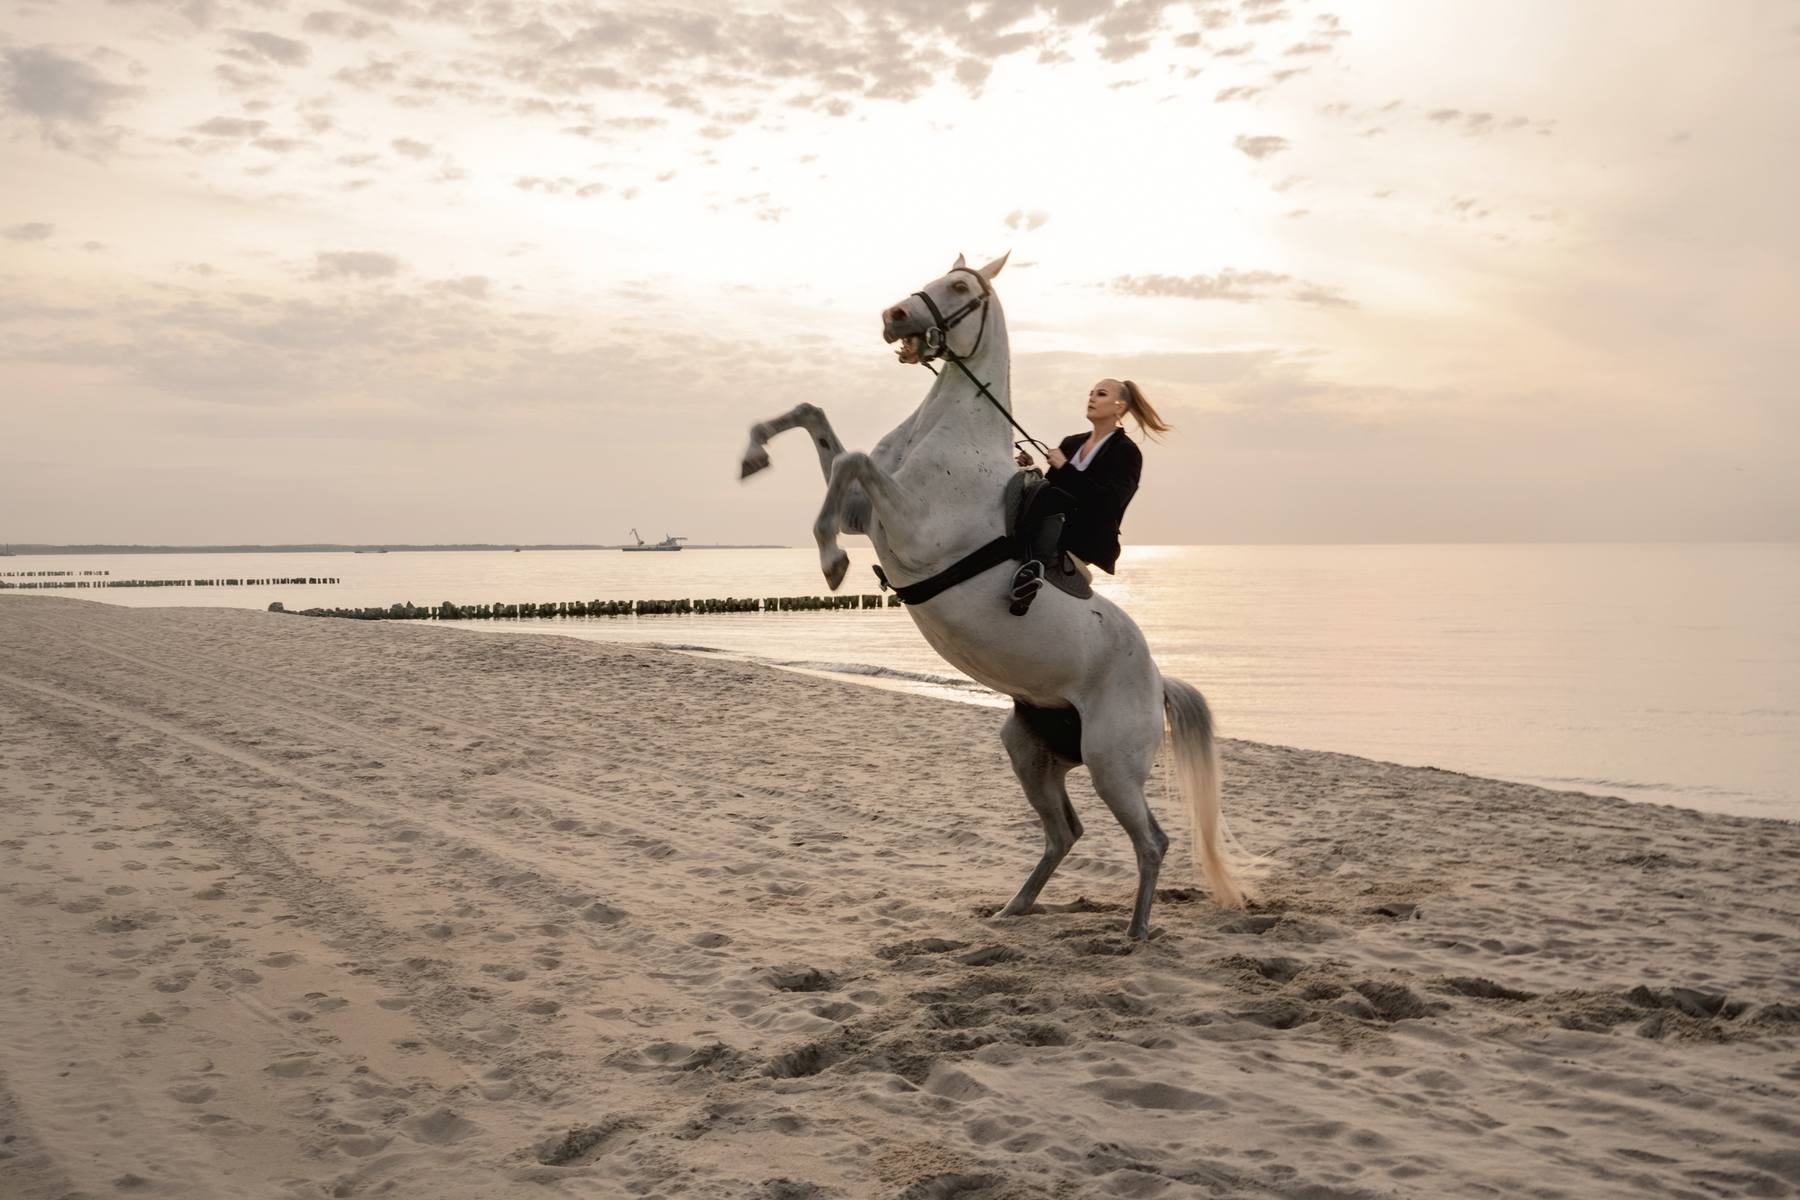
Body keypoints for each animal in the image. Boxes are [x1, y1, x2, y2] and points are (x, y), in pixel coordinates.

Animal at [739, 253, 1248, 940]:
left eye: (960, 286)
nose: (892, 315)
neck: (949, 432)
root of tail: (1158, 681)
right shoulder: (863, 512)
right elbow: (815, 420)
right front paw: (753, 453)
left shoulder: (910, 529)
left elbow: (850, 460)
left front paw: (831, 562)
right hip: (1031, 753)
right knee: (1065, 832)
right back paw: (1015, 907)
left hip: (1112, 767)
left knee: (1151, 841)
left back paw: (1135, 934)